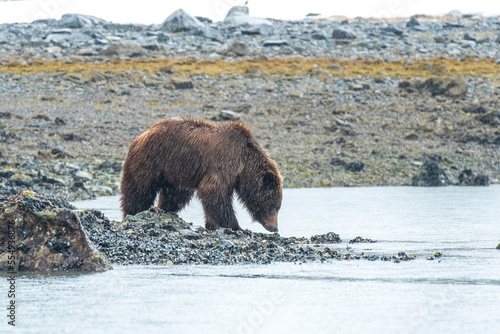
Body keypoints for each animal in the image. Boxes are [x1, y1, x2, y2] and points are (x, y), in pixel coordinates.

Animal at [118, 118, 282, 232]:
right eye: (274, 206)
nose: (275, 228)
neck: (244, 162)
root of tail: (143, 134)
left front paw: (212, 224)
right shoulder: (225, 162)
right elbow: (214, 191)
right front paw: (235, 226)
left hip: (176, 172)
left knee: (174, 195)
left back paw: (164, 210)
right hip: (149, 160)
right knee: (139, 190)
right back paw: (132, 213)